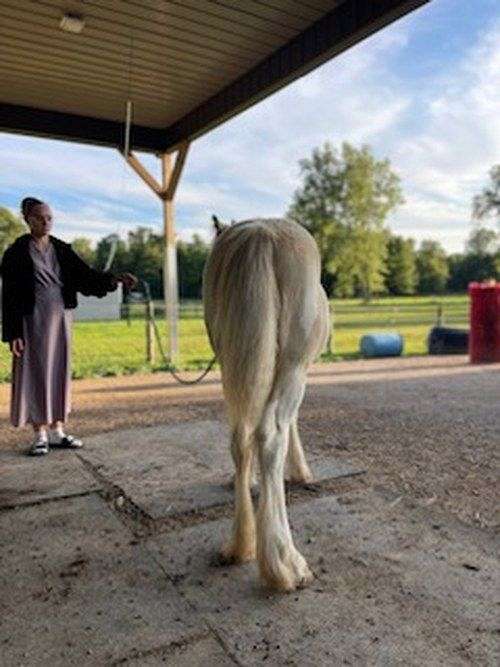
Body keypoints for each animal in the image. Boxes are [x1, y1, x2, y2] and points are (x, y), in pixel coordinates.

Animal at [203, 217, 330, 591]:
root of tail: (260, 233)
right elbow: (292, 423)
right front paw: (301, 471)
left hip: (232, 363)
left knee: (241, 437)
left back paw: (239, 545)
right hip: (292, 365)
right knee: (271, 433)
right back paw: (284, 564)